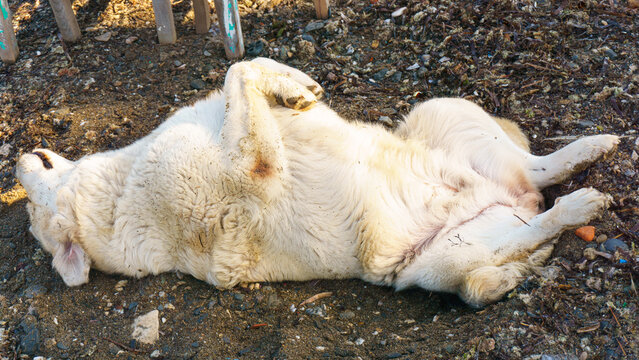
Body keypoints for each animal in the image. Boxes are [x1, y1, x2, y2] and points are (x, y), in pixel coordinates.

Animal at [16, 58, 620, 306]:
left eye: (27, 204)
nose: (17, 157)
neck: (115, 199)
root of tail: (513, 198)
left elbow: (242, 67)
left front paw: (294, 84)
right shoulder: (255, 167)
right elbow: (238, 71)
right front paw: (292, 86)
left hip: (442, 111)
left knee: (539, 171)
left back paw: (592, 147)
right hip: (441, 258)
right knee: (527, 229)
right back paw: (578, 208)